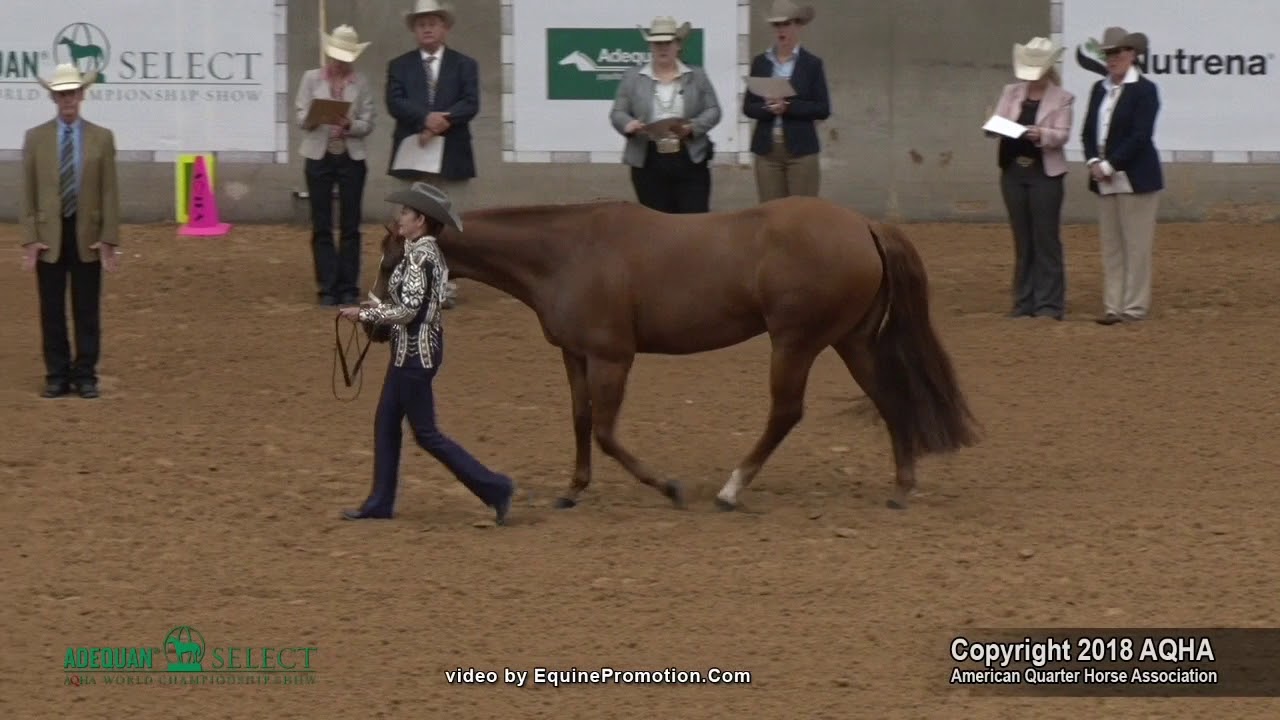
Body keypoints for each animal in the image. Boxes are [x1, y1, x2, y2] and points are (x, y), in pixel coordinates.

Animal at [368, 196, 977, 509]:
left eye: (390, 257)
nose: (375, 327)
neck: (568, 251)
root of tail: (864, 224)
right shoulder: (576, 354)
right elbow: (581, 419)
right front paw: (573, 489)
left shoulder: (613, 357)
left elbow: (607, 431)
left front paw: (668, 486)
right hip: (850, 339)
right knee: (890, 397)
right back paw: (902, 486)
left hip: (797, 341)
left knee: (786, 412)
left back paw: (731, 489)